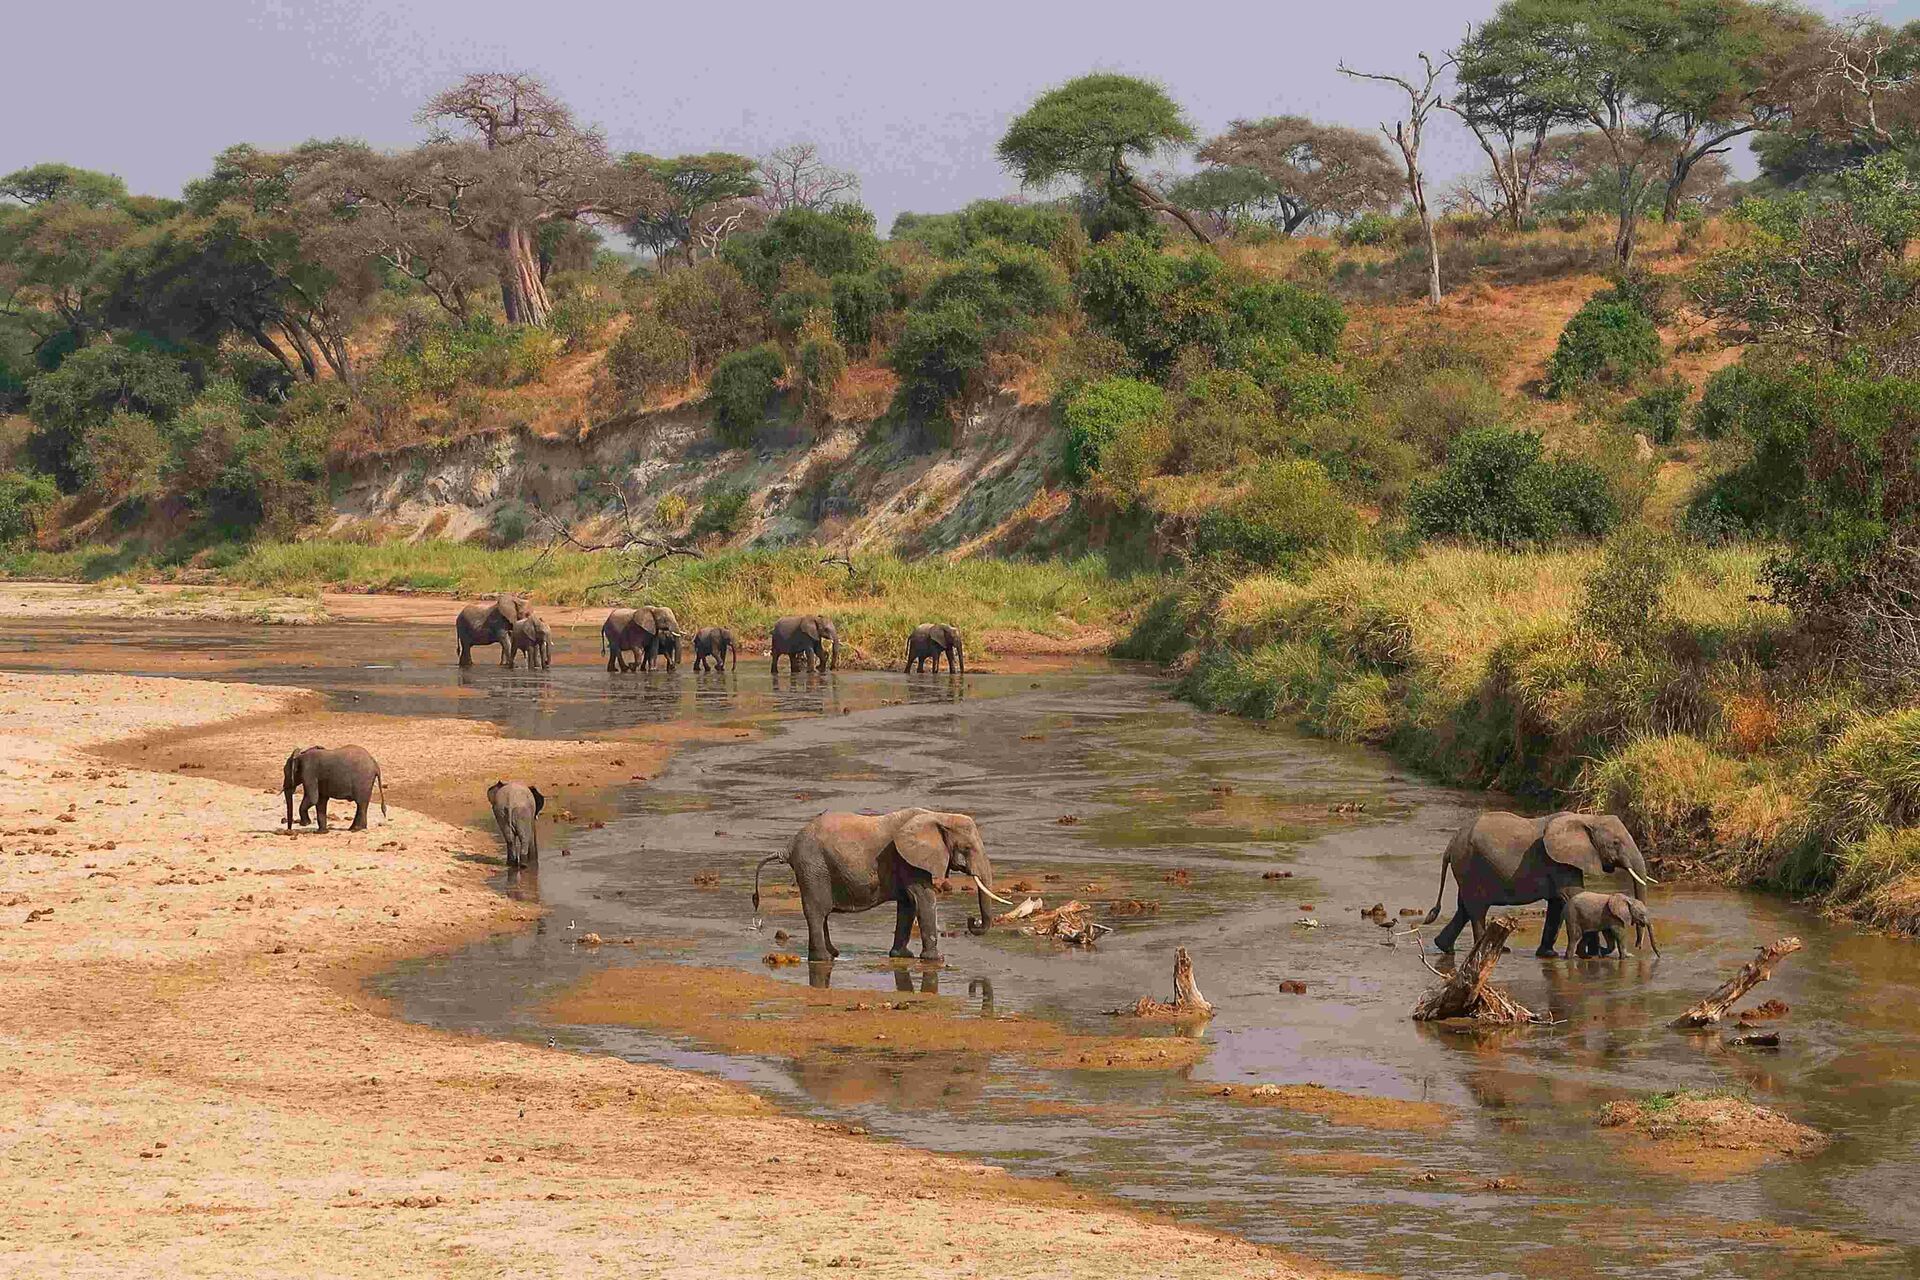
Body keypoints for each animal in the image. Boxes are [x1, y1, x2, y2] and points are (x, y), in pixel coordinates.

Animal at [750, 808, 1014, 963]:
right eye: (967, 848)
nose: (972, 921)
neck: (937, 816)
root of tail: (788, 847)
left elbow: (908, 903)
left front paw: (902, 956)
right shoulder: (908, 860)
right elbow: (924, 899)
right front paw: (936, 959)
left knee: (821, 914)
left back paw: (833, 953)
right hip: (813, 867)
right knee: (817, 912)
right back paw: (823, 958)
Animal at [1422, 810, 1655, 958]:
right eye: (1615, 843)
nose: (1639, 945)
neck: (1587, 818)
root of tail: (1451, 843)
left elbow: (1558, 903)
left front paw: (1549, 954)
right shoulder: (1558, 862)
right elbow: (1571, 895)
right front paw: (1594, 954)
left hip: (1466, 869)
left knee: (1464, 908)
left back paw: (1445, 948)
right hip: (1471, 865)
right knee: (1477, 909)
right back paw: (1489, 950)